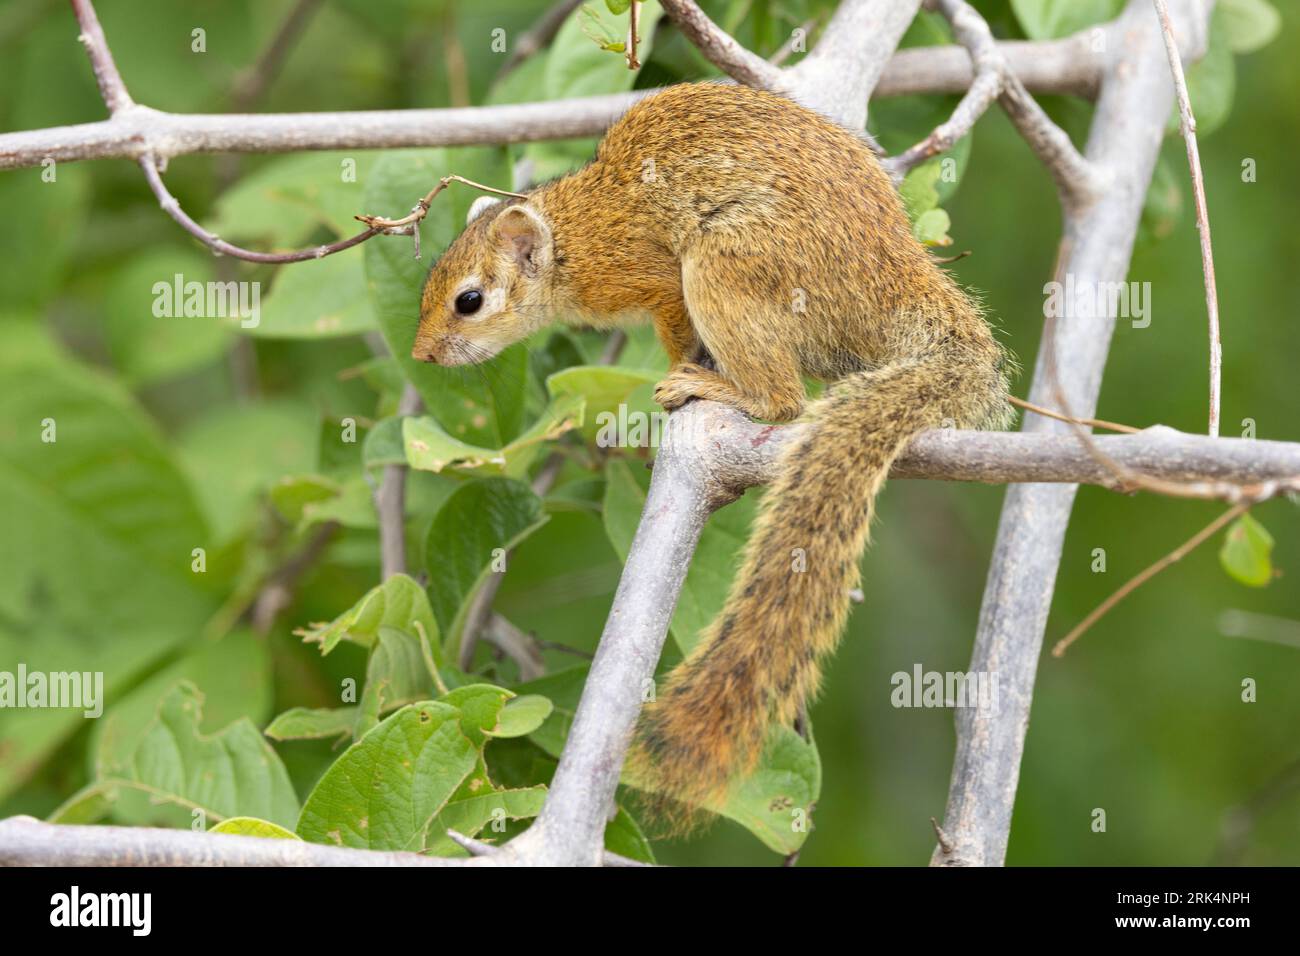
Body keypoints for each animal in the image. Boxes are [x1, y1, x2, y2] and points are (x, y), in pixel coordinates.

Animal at [413, 83, 1013, 822]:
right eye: (429, 284)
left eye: (469, 300)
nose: (423, 354)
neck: (572, 237)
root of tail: (897, 278)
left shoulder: (647, 277)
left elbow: (672, 319)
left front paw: (680, 370)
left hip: (729, 263)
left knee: (783, 399)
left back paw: (715, 384)